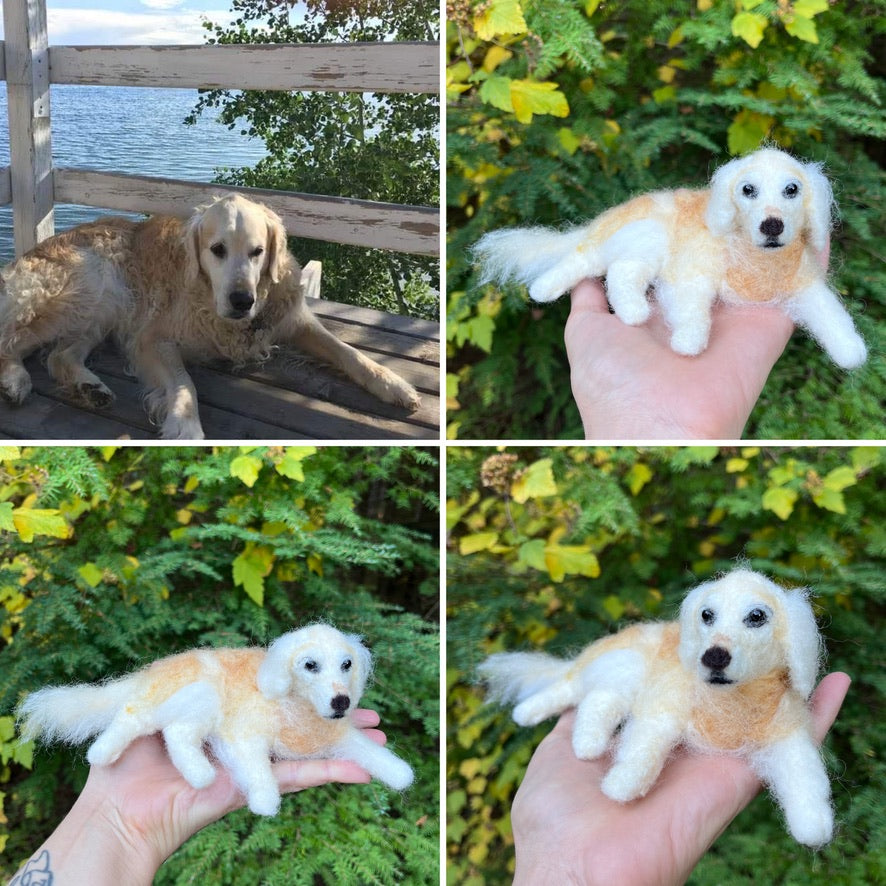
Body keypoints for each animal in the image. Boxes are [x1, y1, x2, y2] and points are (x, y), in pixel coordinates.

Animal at [0, 196, 422, 442]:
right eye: (217, 250)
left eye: (258, 251)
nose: (242, 300)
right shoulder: (151, 338)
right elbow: (185, 383)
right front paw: (186, 428)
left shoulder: (294, 319)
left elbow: (348, 351)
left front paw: (394, 384)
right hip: (83, 290)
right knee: (11, 341)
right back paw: (17, 380)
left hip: (102, 311)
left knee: (60, 355)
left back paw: (91, 387)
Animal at [20, 620, 416, 816]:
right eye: (310, 665)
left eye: (347, 664)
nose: (341, 701)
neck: (295, 710)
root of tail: (151, 672)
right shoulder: (243, 736)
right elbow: (256, 769)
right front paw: (264, 799)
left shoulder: (338, 737)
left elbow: (369, 750)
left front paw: (398, 772)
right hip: (196, 696)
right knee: (141, 720)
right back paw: (109, 754)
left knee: (171, 732)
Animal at [476, 147, 872, 370]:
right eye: (748, 189)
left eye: (792, 189)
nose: (772, 224)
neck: (755, 259)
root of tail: (607, 217)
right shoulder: (690, 273)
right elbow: (694, 311)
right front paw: (688, 342)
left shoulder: (804, 285)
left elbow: (830, 313)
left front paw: (850, 349)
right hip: (642, 236)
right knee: (584, 258)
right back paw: (544, 288)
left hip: (640, 249)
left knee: (621, 273)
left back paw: (633, 311)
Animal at [482, 572, 836, 848]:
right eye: (706, 615)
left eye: (757, 616)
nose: (714, 656)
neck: (729, 699)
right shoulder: (663, 705)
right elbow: (644, 748)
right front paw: (622, 783)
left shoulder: (787, 731)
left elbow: (804, 773)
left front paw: (812, 821)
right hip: (626, 666)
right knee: (573, 688)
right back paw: (530, 713)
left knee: (597, 699)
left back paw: (586, 742)